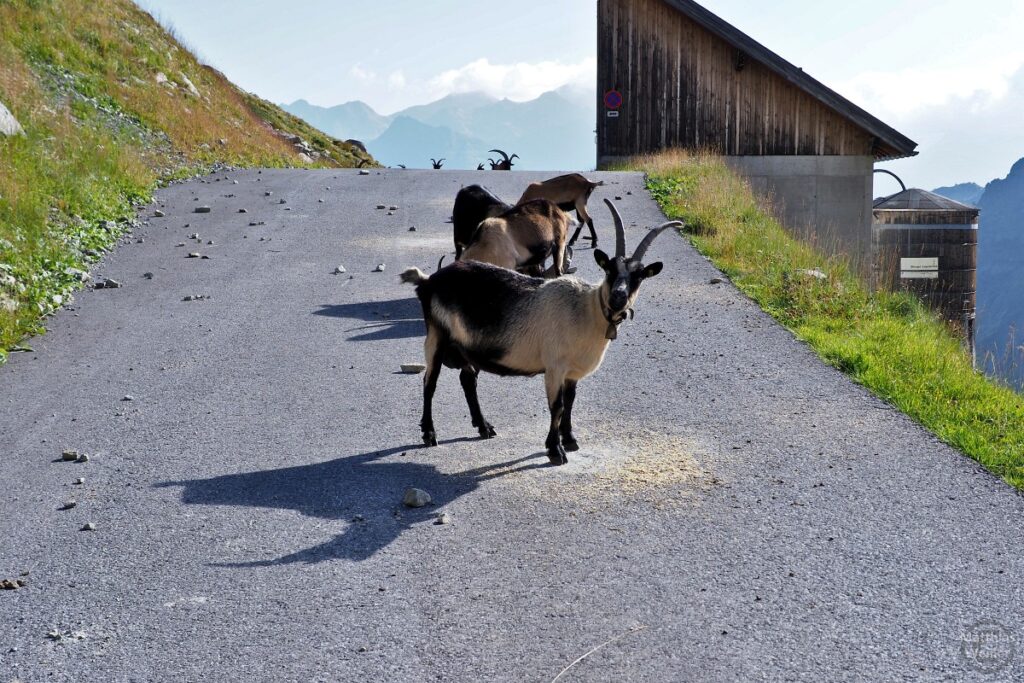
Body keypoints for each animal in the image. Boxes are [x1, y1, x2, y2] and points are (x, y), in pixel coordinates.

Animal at [399, 196, 679, 464]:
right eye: (609, 269)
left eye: (640, 276)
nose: (618, 298)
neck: (586, 309)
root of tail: (428, 281)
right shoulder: (555, 367)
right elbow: (557, 407)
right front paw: (555, 451)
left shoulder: (571, 373)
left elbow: (570, 402)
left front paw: (570, 440)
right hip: (436, 337)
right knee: (430, 382)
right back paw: (429, 434)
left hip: (467, 346)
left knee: (467, 380)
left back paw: (484, 427)